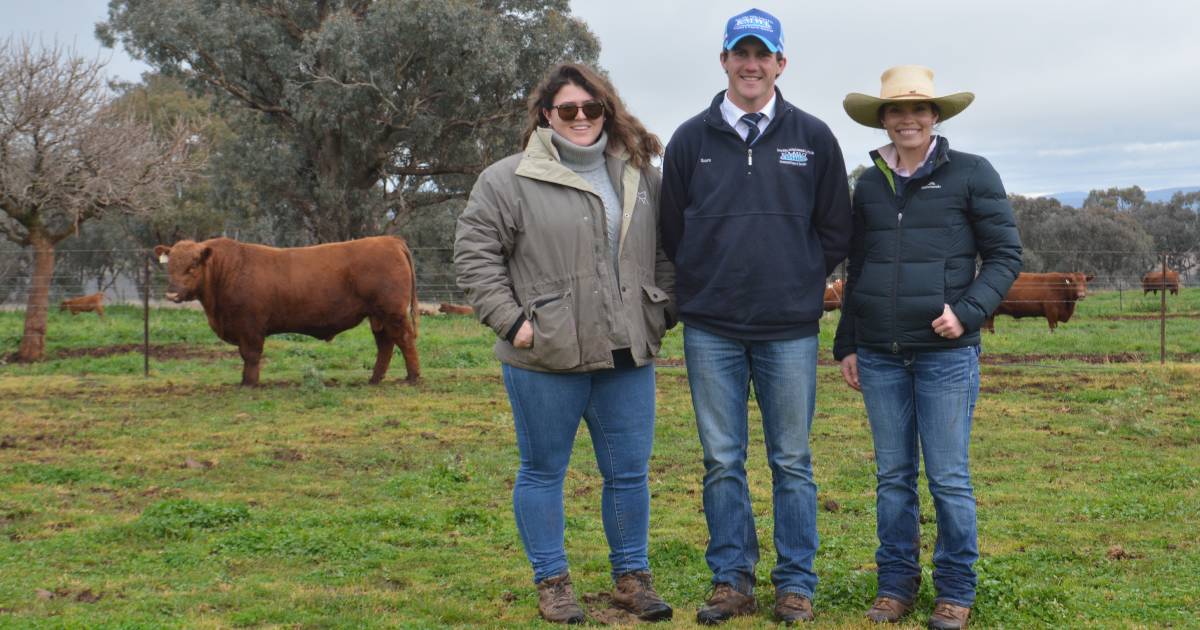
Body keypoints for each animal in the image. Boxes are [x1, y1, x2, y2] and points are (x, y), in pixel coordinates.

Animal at [153, 235, 422, 384]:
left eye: (193, 266)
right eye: (170, 266)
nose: (171, 294)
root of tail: (390, 240)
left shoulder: (250, 326)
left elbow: (251, 355)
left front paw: (249, 383)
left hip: (393, 312)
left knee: (404, 339)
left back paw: (413, 377)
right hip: (378, 316)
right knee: (385, 344)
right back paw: (375, 379)